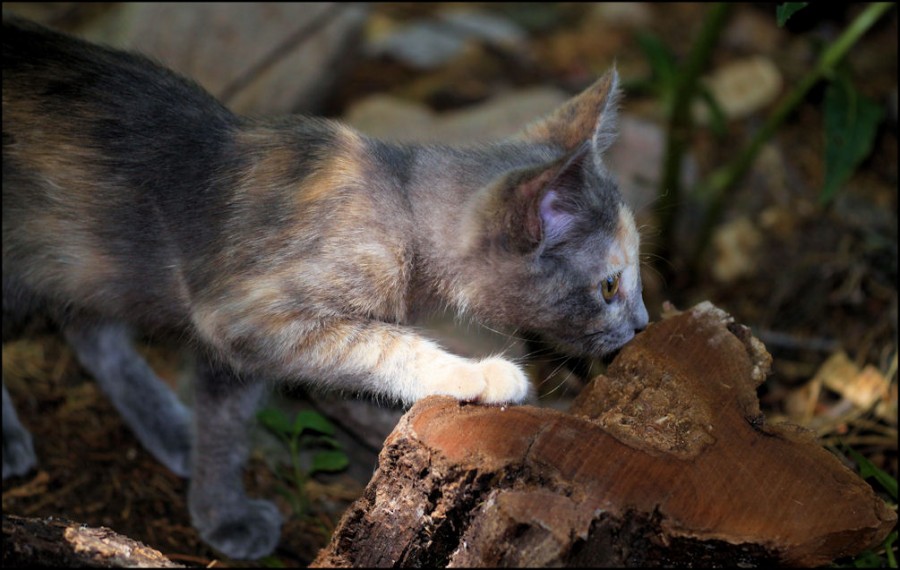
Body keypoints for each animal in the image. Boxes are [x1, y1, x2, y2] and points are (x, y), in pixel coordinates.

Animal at [0, 15, 648, 556]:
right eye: (609, 287)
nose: (643, 324)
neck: (396, 199)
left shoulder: (235, 347)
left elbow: (226, 421)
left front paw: (218, 507)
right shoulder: (243, 312)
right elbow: (382, 342)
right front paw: (475, 374)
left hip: (86, 257)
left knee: (90, 331)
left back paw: (165, 424)